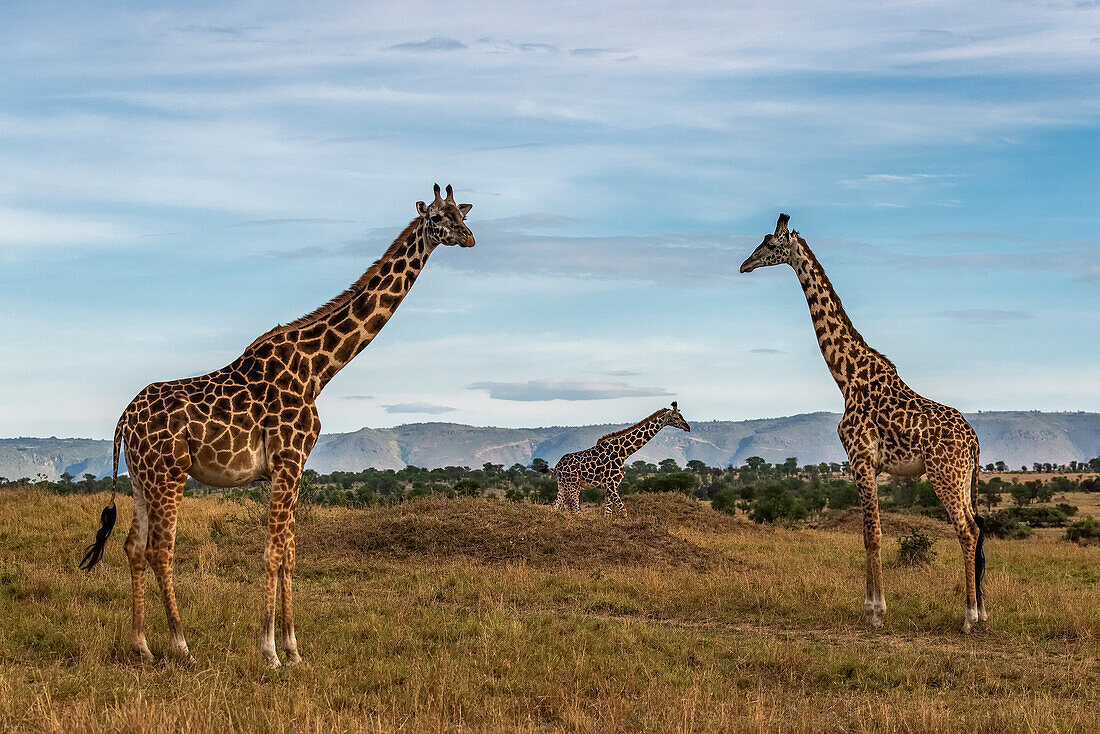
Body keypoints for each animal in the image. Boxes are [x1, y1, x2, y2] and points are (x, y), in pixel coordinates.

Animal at [77, 187, 473, 669]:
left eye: (461, 213)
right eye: (437, 217)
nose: (469, 237)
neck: (318, 369)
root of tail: (124, 419)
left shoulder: (295, 466)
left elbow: (289, 554)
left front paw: (294, 649)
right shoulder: (287, 460)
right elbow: (271, 552)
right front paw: (269, 652)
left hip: (141, 478)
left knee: (133, 547)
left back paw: (142, 646)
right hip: (169, 473)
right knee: (159, 549)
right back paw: (182, 647)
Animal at [547, 402, 686, 517]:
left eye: (681, 415)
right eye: (676, 417)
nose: (687, 427)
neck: (623, 452)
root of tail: (558, 466)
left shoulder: (610, 486)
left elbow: (608, 513)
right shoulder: (611, 485)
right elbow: (623, 511)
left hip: (563, 485)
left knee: (555, 505)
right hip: (573, 484)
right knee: (574, 509)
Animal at [739, 215, 990, 633]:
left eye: (770, 245)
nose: (745, 265)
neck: (846, 375)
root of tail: (974, 442)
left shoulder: (860, 458)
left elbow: (872, 534)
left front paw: (876, 612)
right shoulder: (866, 463)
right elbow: (865, 533)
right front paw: (869, 607)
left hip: (945, 475)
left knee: (967, 530)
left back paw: (969, 617)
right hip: (963, 479)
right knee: (980, 525)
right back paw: (983, 612)